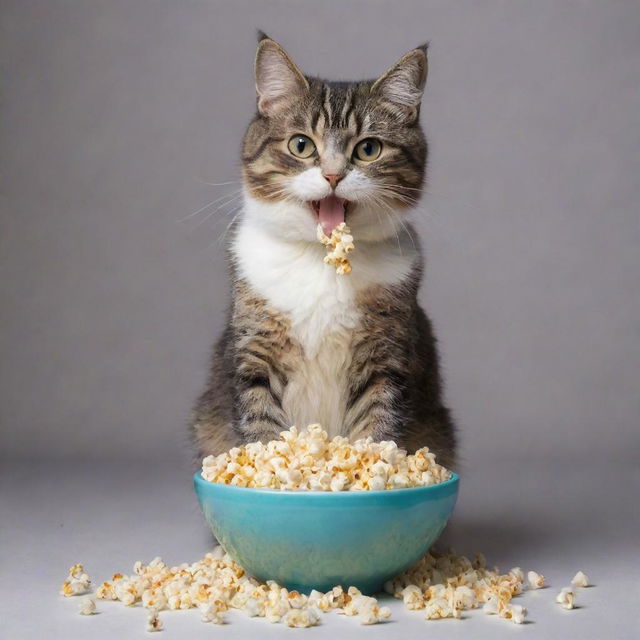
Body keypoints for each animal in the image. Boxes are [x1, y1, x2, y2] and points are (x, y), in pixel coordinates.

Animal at [188, 31, 458, 470]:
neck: (322, 260)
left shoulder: (386, 357)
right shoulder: (255, 351)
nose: (332, 175)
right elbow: (260, 421)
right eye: (301, 145)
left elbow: (378, 424)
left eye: (368, 149)